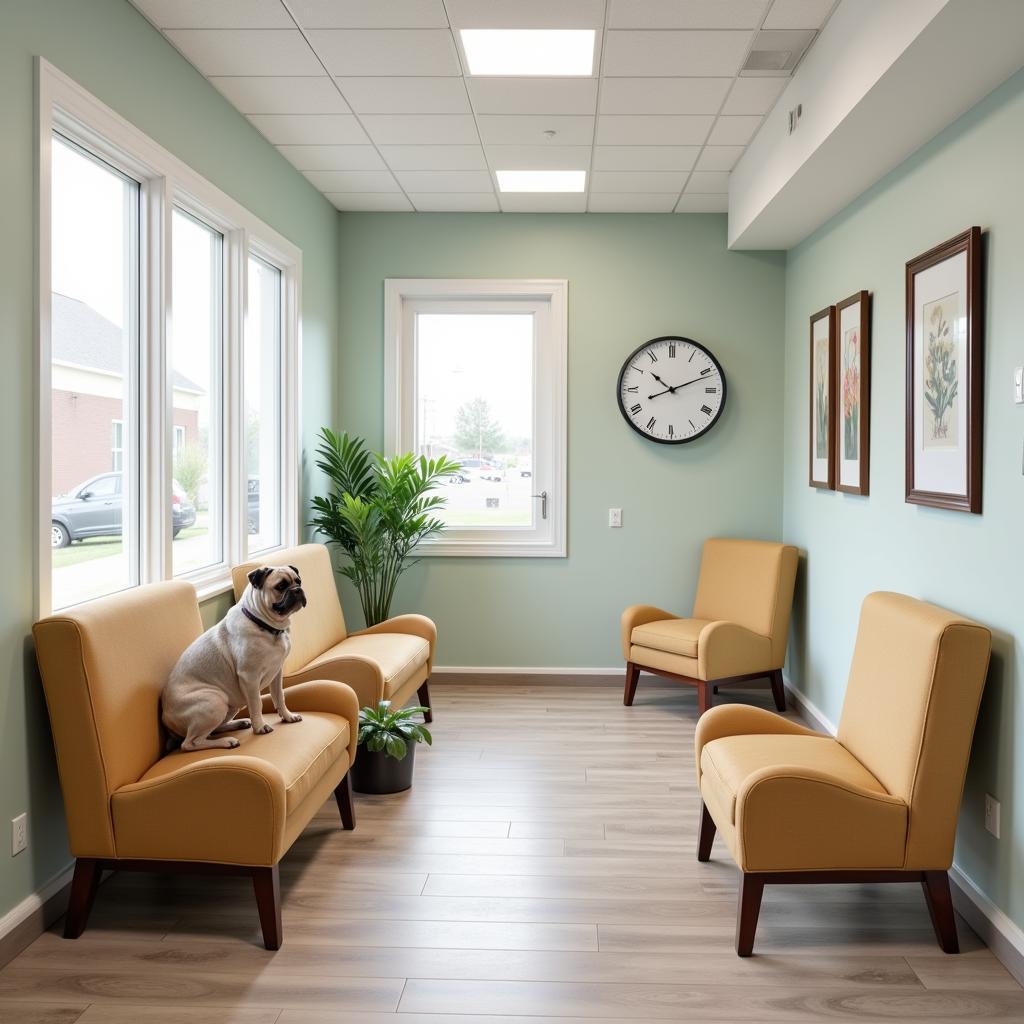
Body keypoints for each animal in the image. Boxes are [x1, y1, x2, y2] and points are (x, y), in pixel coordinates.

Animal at [160, 565, 307, 749]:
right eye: (280, 586)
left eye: (298, 581)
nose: (298, 589)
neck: (265, 626)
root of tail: (166, 718)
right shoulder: (249, 677)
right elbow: (257, 703)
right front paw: (260, 726)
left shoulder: (276, 672)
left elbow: (279, 696)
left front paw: (287, 716)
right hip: (215, 701)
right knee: (190, 743)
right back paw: (227, 741)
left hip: (229, 706)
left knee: (213, 730)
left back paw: (238, 724)